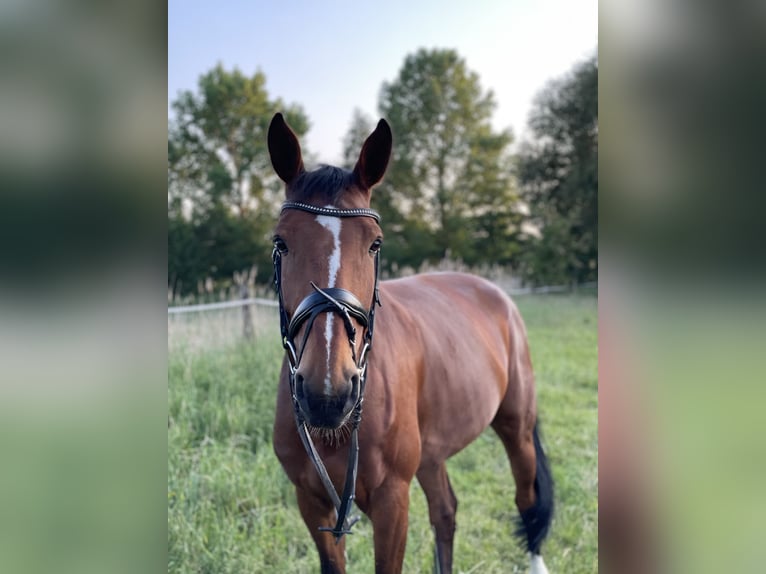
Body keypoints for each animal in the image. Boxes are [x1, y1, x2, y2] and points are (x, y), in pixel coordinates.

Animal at [267, 112, 554, 574]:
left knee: (526, 501)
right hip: (434, 453)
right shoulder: (311, 504)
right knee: (446, 513)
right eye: (281, 242)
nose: (328, 392)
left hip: (518, 429)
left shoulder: (392, 502)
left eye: (375, 243)